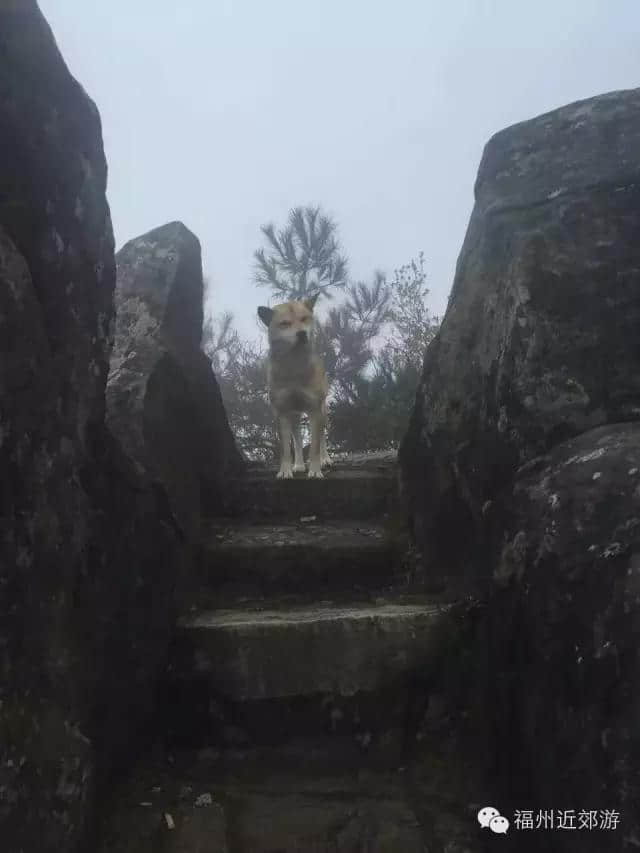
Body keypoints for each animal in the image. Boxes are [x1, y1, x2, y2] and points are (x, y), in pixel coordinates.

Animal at [258, 294, 330, 480]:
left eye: (304, 319)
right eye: (285, 323)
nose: (302, 334)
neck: (293, 368)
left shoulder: (314, 410)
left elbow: (314, 446)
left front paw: (315, 470)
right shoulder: (282, 412)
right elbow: (285, 448)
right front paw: (285, 471)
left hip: (322, 410)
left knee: (322, 436)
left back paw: (325, 459)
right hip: (295, 415)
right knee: (297, 438)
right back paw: (298, 465)